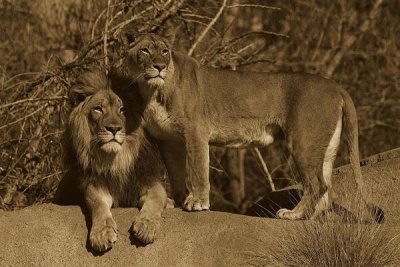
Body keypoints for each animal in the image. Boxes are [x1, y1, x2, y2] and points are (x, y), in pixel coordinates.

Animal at [53, 68, 169, 252]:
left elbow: (157, 198)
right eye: (98, 109)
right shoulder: (95, 185)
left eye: (123, 110)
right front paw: (102, 233)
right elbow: (98, 204)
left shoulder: (149, 180)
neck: (116, 160)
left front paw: (146, 226)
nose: (113, 128)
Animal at [119, 33, 382, 222]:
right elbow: (176, 173)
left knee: (318, 185)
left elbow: (197, 170)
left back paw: (294, 215)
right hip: (325, 147)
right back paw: (312, 220)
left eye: (165, 51)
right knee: (327, 188)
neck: (153, 91)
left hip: (303, 142)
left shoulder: (195, 132)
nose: (159, 66)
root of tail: (336, 86)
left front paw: (197, 203)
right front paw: (178, 201)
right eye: (145, 50)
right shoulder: (168, 141)